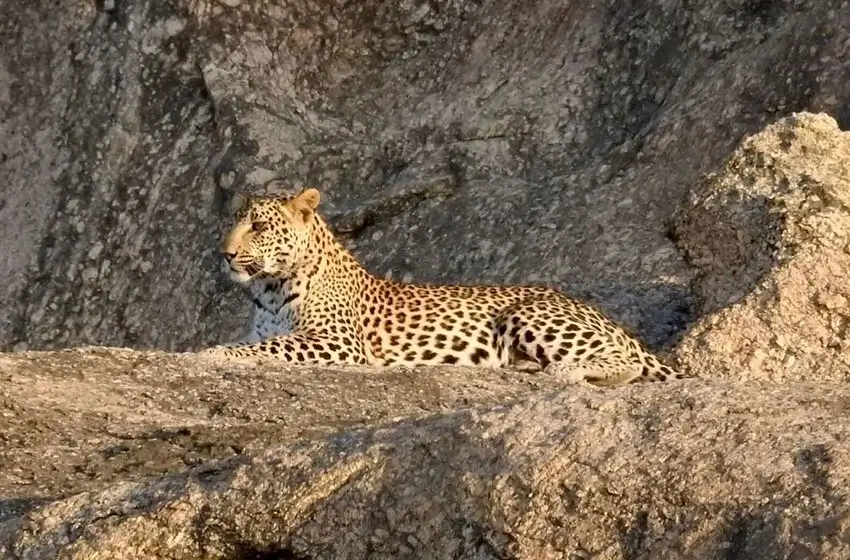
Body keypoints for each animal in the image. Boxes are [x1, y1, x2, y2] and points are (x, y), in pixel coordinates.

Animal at [202, 186, 691, 386]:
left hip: (528, 314)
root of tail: (602, 315)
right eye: (233, 223)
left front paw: (216, 355)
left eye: (259, 226)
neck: (267, 289)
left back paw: (561, 372)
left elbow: (271, 347)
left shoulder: (337, 341)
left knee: (625, 363)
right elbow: (259, 342)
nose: (224, 253)